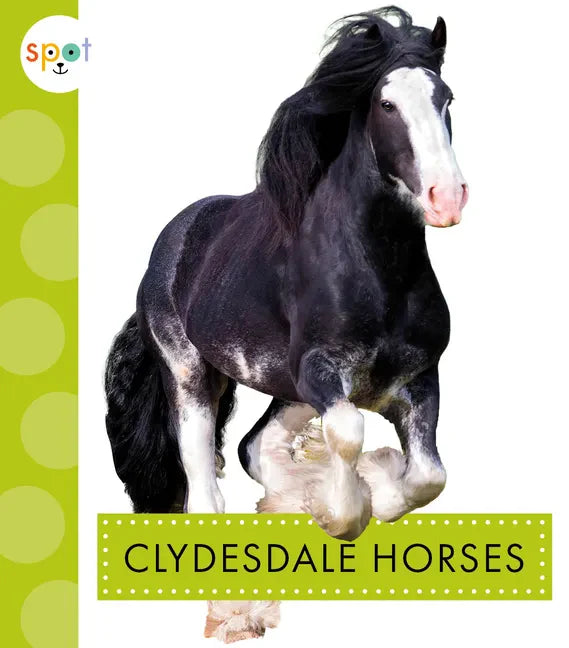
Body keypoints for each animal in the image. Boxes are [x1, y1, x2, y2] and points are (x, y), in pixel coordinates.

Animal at [105, 6, 468, 543]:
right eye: (386, 104)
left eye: (446, 98)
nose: (447, 198)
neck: (379, 276)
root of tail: (170, 243)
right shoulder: (319, 369)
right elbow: (349, 433)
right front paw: (341, 510)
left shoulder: (419, 377)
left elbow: (429, 475)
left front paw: (366, 496)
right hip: (189, 374)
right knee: (202, 481)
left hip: (285, 389)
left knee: (253, 446)